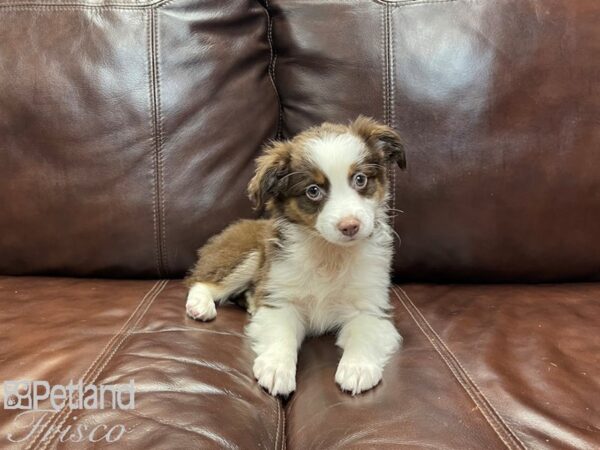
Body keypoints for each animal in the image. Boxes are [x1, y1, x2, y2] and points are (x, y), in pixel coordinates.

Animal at [185, 117, 406, 398]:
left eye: (360, 179)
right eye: (313, 191)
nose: (350, 226)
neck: (329, 252)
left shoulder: (371, 306)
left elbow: (364, 334)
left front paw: (357, 368)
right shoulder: (281, 297)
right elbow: (282, 334)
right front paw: (277, 367)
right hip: (248, 254)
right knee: (202, 281)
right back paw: (200, 305)